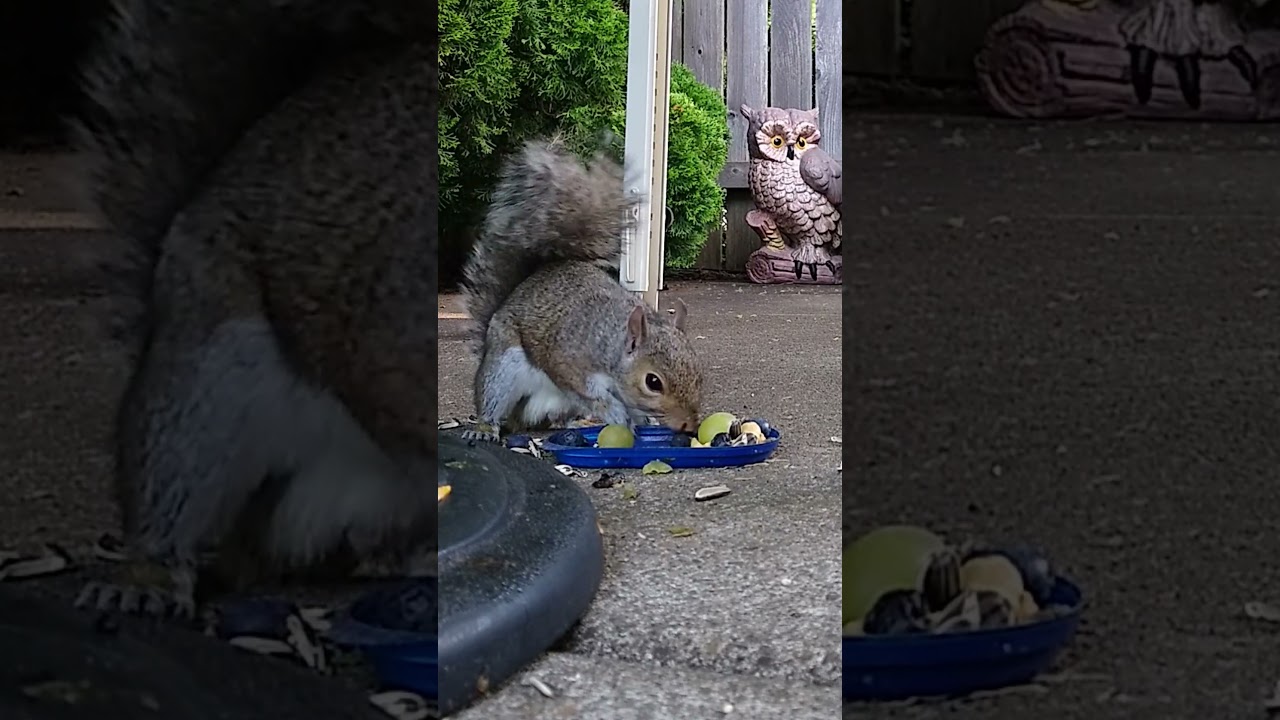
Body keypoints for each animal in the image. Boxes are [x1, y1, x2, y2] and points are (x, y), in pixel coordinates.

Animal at [460, 138, 705, 443]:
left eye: (699, 373)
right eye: (653, 382)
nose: (690, 425)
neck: (611, 344)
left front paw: (640, 418)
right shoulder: (568, 361)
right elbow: (589, 393)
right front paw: (614, 412)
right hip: (503, 368)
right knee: (493, 400)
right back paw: (484, 428)